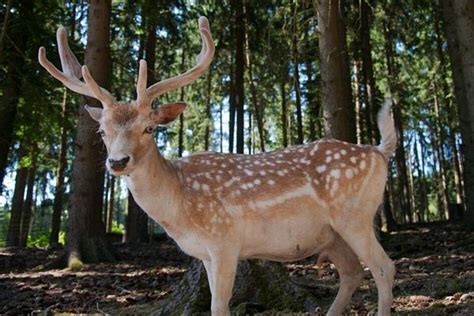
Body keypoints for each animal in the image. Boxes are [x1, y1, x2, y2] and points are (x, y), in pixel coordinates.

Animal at [39, 16, 396, 316]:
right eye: (102, 131)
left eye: (149, 128)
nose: (118, 161)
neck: (179, 205)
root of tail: (379, 151)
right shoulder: (206, 254)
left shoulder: (224, 239)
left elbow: (219, 306)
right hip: (332, 234)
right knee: (352, 272)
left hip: (354, 215)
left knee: (383, 267)